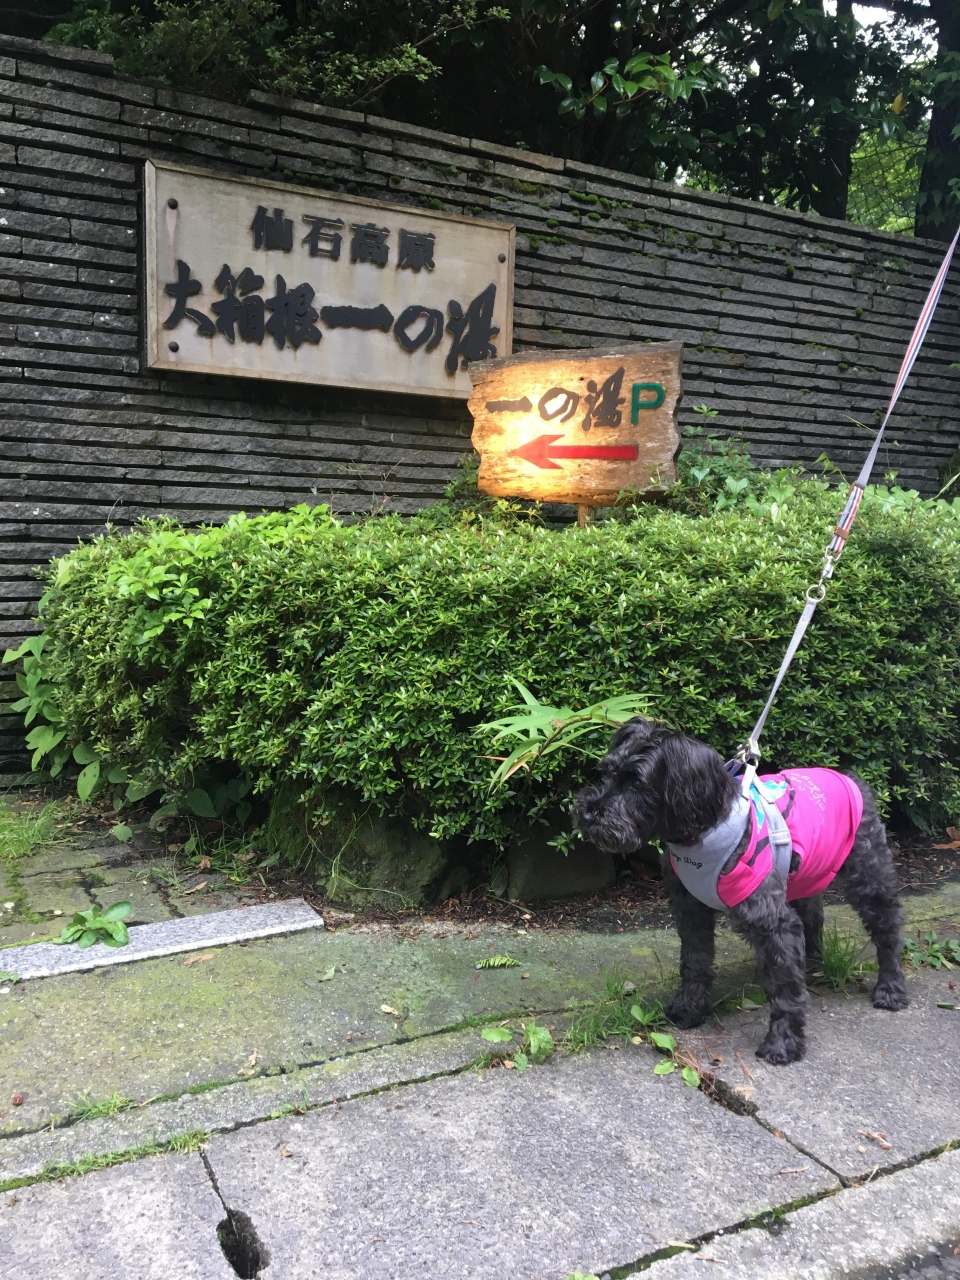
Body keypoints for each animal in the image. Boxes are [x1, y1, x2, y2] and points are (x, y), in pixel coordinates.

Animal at [576, 716, 911, 1064]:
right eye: (607, 772)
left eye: (637, 784)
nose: (587, 812)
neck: (704, 832)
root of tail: (850, 777)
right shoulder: (691, 910)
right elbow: (694, 962)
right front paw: (689, 1009)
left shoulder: (771, 920)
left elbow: (785, 988)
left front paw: (783, 1042)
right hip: (804, 878)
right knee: (813, 918)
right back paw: (812, 964)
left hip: (868, 876)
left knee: (888, 930)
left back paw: (891, 988)